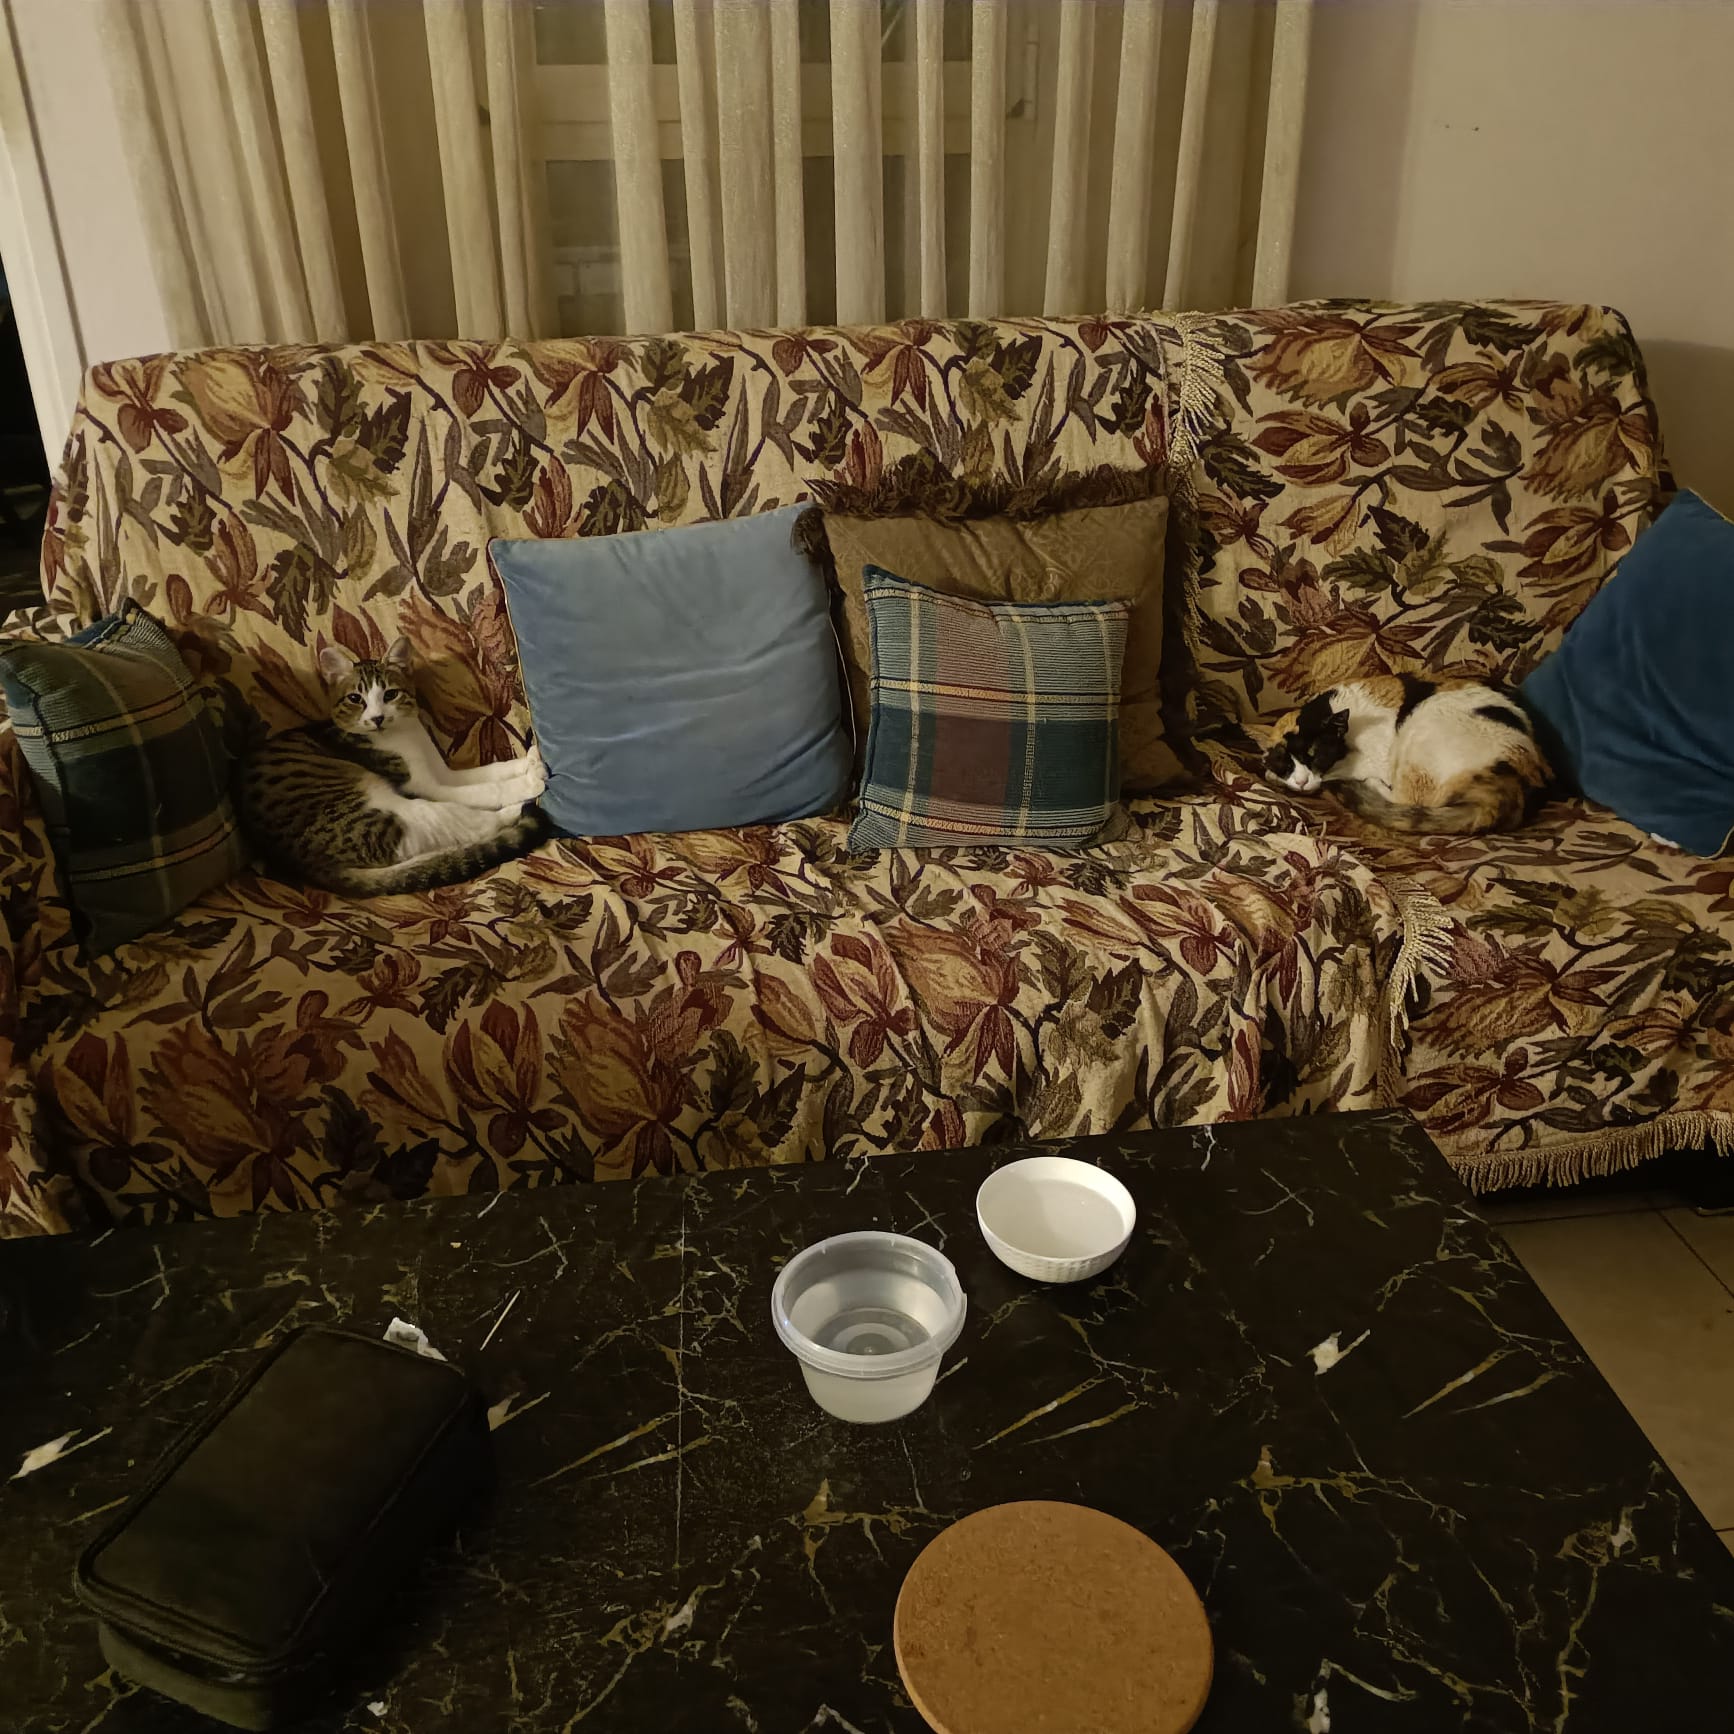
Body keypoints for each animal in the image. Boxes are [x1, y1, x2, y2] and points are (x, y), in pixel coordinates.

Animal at [239, 637, 549, 895]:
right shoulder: (425, 785)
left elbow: (492, 770)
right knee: (475, 826)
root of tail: (306, 867)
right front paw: (529, 779)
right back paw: (519, 808)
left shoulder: (444, 772)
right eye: (355, 699)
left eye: (389, 695)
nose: (377, 718)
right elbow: (489, 789)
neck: (404, 734)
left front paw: (529, 760)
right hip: (401, 814)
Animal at [1262, 674, 1549, 835]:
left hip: (1423, 726)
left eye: (1315, 754)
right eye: (1283, 761)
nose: (1301, 782)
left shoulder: (1371, 759)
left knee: (1408, 798)